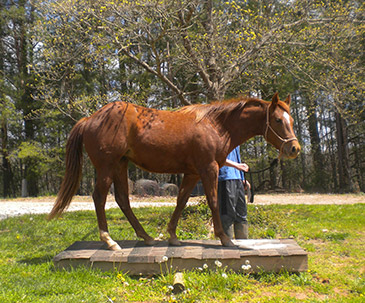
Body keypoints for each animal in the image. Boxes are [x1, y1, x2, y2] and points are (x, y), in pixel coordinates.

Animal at [48, 92, 298, 249]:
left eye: (292, 120)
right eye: (278, 120)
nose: (294, 148)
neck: (216, 125)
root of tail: (90, 118)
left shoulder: (193, 173)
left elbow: (181, 201)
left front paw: (172, 236)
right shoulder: (208, 169)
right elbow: (213, 201)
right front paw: (224, 239)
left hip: (120, 164)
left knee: (122, 200)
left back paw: (146, 237)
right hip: (107, 167)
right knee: (100, 198)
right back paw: (109, 241)